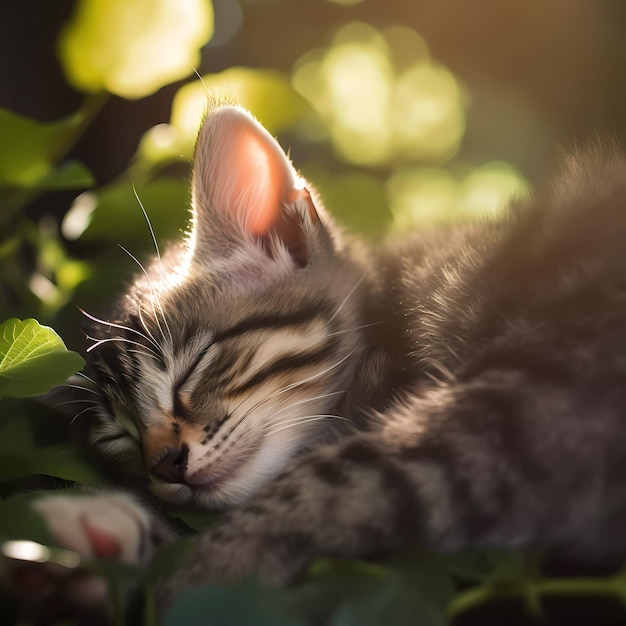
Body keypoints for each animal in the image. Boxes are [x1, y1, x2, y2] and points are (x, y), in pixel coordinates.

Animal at [11, 106, 626, 608]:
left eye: (192, 367)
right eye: (119, 434)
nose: (164, 465)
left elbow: (332, 483)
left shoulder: (535, 400)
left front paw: (195, 573)